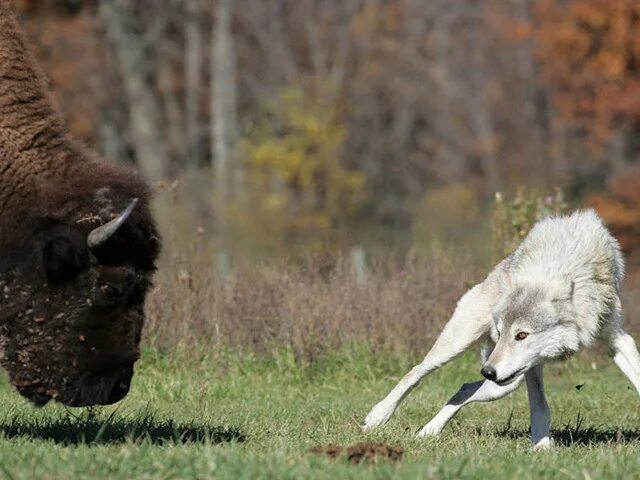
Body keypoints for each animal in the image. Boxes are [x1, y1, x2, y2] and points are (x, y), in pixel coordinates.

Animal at [362, 211, 632, 450]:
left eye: (521, 335)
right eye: (501, 333)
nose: (488, 371)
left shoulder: (617, 337)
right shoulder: (531, 365)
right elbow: (540, 405)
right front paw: (541, 446)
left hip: (505, 383)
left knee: (464, 389)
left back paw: (427, 433)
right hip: (462, 347)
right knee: (416, 371)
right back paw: (378, 416)